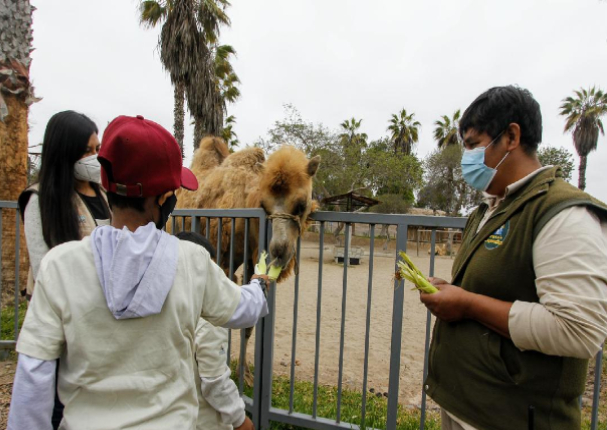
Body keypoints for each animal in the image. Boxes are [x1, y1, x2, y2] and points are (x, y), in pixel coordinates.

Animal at [175, 137, 320, 382]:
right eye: (264, 206)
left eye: (301, 205)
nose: (278, 250)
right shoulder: (225, 258)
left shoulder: (252, 259)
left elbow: (249, 321)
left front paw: (246, 374)